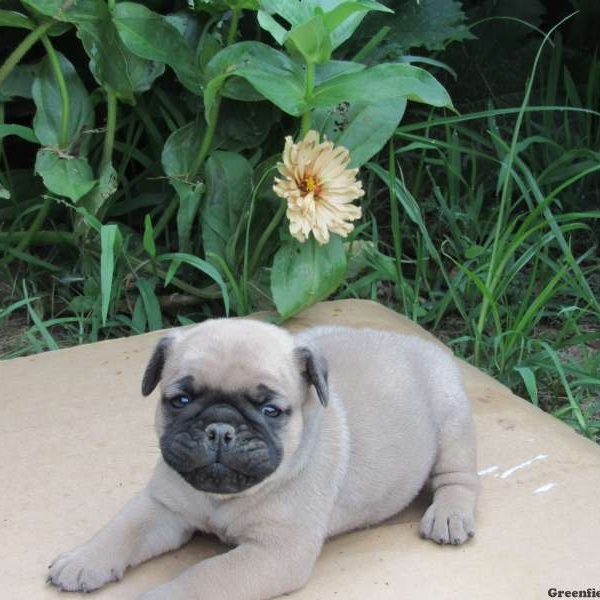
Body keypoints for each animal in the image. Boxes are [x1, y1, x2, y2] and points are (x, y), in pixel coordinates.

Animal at [48, 318, 478, 596]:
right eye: (180, 400)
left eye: (271, 410)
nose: (220, 428)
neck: (223, 498)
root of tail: (411, 341)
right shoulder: (161, 507)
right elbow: (123, 529)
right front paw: (83, 560)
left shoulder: (273, 553)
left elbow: (202, 577)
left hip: (450, 419)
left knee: (458, 477)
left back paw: (449, 515)